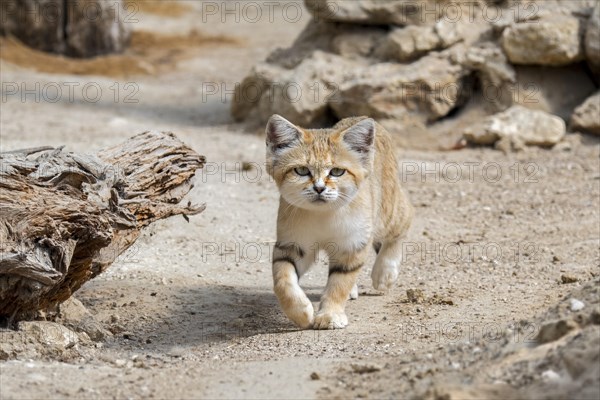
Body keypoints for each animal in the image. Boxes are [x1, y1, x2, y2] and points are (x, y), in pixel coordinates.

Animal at [266, 114, 412, 330]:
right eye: (301, 170)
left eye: (336, 172)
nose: (319, 188)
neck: (323, 215)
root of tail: (362, 116)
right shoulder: (292, 244)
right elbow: (282, 279)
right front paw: (300, 312)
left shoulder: (352, 245)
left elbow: (339, 283)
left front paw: (330, 315)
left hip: (388, 212)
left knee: (406, 219)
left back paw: (385, 272)